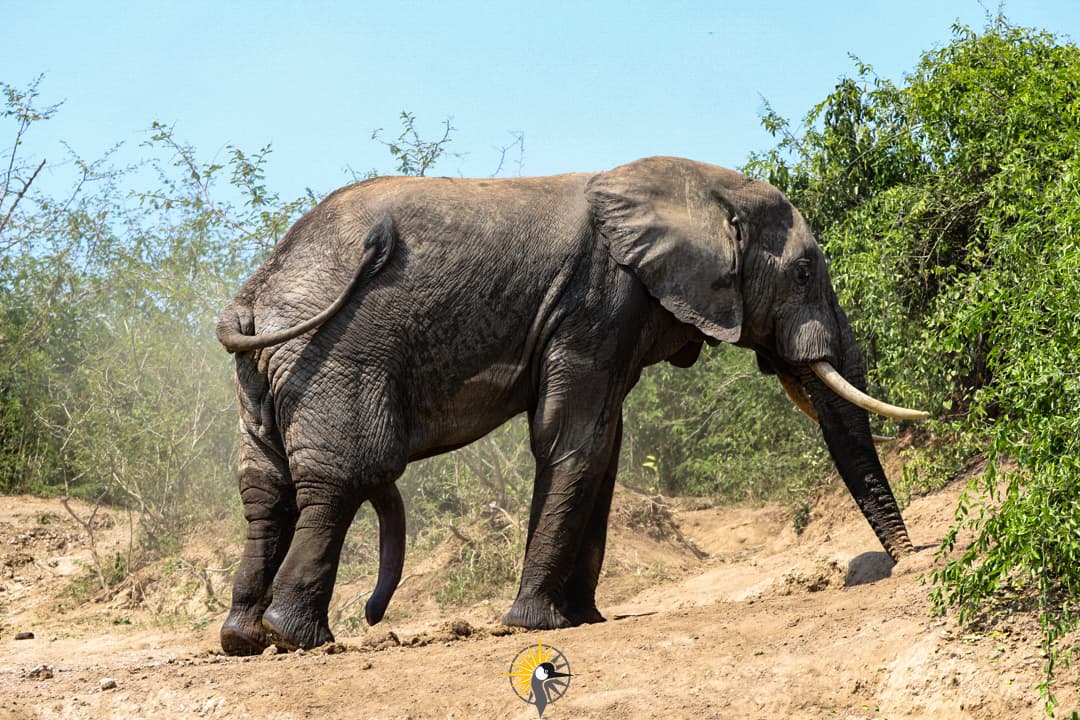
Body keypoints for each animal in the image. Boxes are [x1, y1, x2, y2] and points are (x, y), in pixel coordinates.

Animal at [215, 156, 927, 655]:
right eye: (804, 273)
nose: (909, 560)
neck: (691, 186)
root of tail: (253, 293)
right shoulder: (598, 303)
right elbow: (573, 441)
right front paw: (534, 623)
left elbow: (603, 447)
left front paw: (582, 618)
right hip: (336, 353)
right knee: (341, 478)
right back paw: (297, 639)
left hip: (263, 375)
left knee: (265, 487)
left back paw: (244, 640)